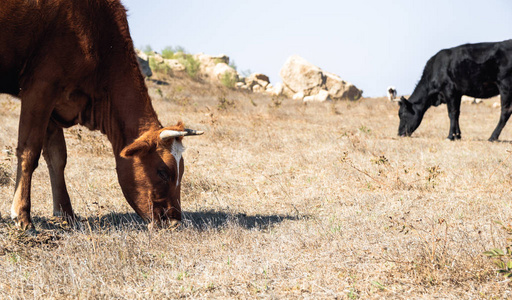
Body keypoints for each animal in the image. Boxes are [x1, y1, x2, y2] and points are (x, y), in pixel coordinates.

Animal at [1, 0, 203, 230]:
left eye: (182, 171)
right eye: (163, 171)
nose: (175, 221)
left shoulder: (55, 105)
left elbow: (57, 157)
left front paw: (67, 214)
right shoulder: (40, 89)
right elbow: (29, 152)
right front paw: (23, 216)